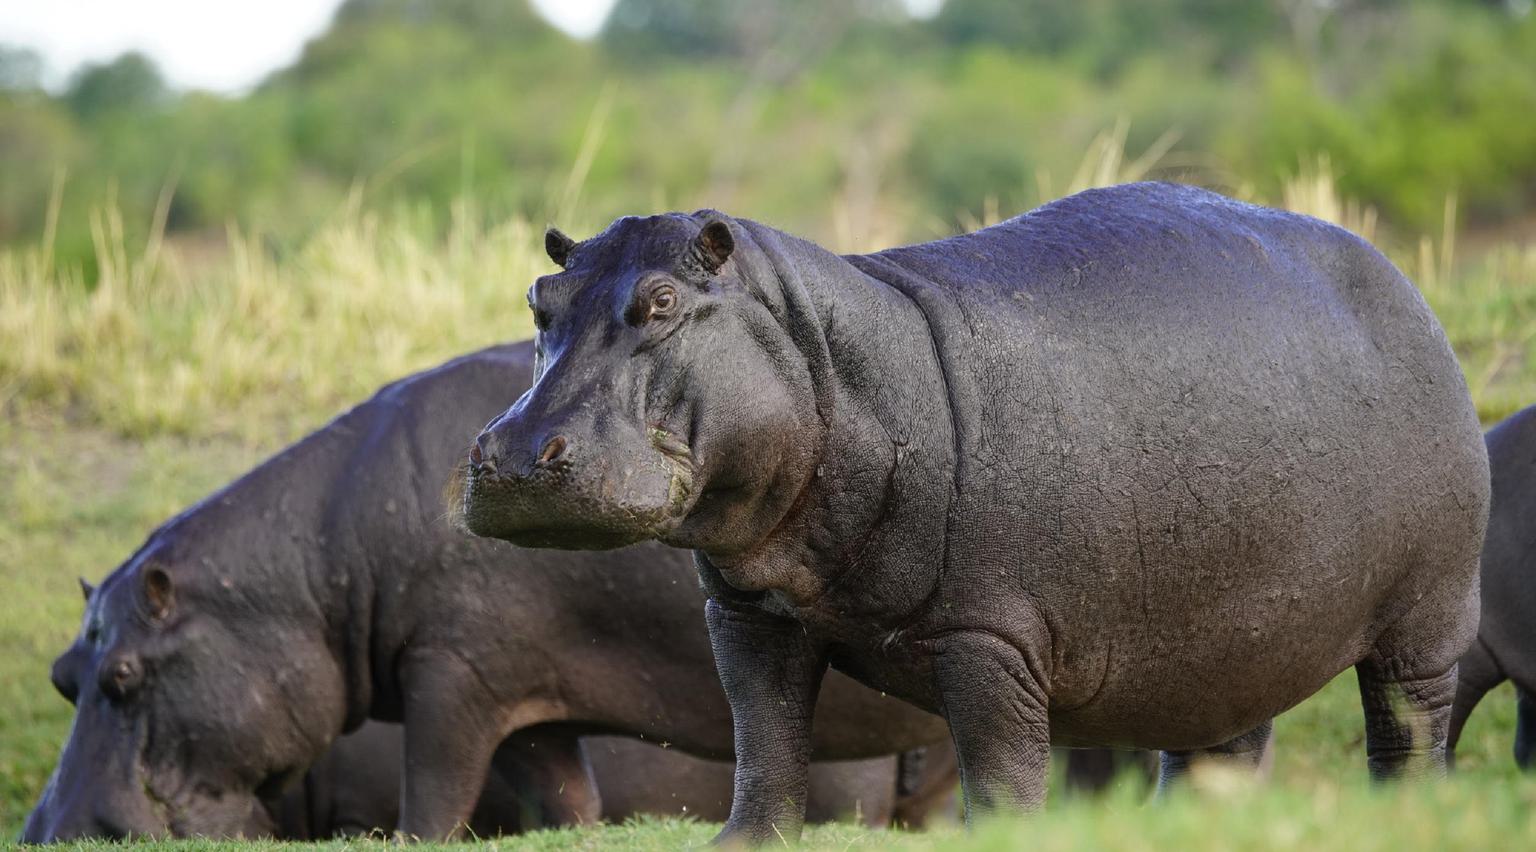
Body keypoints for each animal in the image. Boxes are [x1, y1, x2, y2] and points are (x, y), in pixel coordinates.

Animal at [22, 342, 954, 843]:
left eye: (124, 676)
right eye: (63, 674)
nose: (47, 835)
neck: (315, 571)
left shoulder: (451, 674)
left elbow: (434, 792)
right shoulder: (527, 701)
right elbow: (565, 802)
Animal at [461, 182, 1489, 842]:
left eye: (664, 299)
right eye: (540, 298)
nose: (511, 457)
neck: (834, 365)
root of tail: (1406, 289)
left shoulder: (992, 642)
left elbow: (998, 777)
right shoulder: (748, 615)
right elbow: (767, 747)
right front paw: (743, 843)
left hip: (1426, 618)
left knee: (1411, 726)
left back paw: (1409, 818)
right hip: (1233, 636)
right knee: (1222, 747)